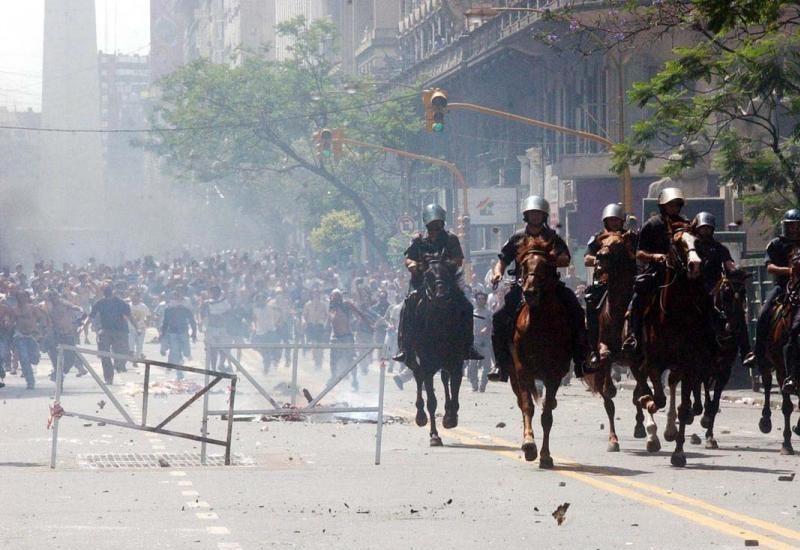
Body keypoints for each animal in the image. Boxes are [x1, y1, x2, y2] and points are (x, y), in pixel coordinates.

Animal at [408, 251, 468, 447]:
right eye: (427, 275)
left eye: (447, 272)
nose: (441, 295)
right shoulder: (427, 363)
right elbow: (431, 401)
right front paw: (434, 435)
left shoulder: (456, 361)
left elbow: (454, 392)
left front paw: (450, 418)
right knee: (418, 376)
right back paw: (420, 416)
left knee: (444, 378)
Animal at [509, 238, 573, 468]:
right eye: (524, 264)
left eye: (545, 266)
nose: (529, 292)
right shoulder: (522, 369)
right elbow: (528, 406)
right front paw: (529, 445)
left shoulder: (554, 374)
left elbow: (547, 416)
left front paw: (545, 456)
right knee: (522, 403)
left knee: (548, 405)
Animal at [632, 228, 711, 466]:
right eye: (677, 243)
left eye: (697, 242)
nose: (695, 264)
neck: (673, 315)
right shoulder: (653, 363)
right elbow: (656, 399)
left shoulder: (688, 365)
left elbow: (683, 408)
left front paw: (678, 452)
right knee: (645, 385)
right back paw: (652, 433)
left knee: (671, 385)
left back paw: (668, 429)